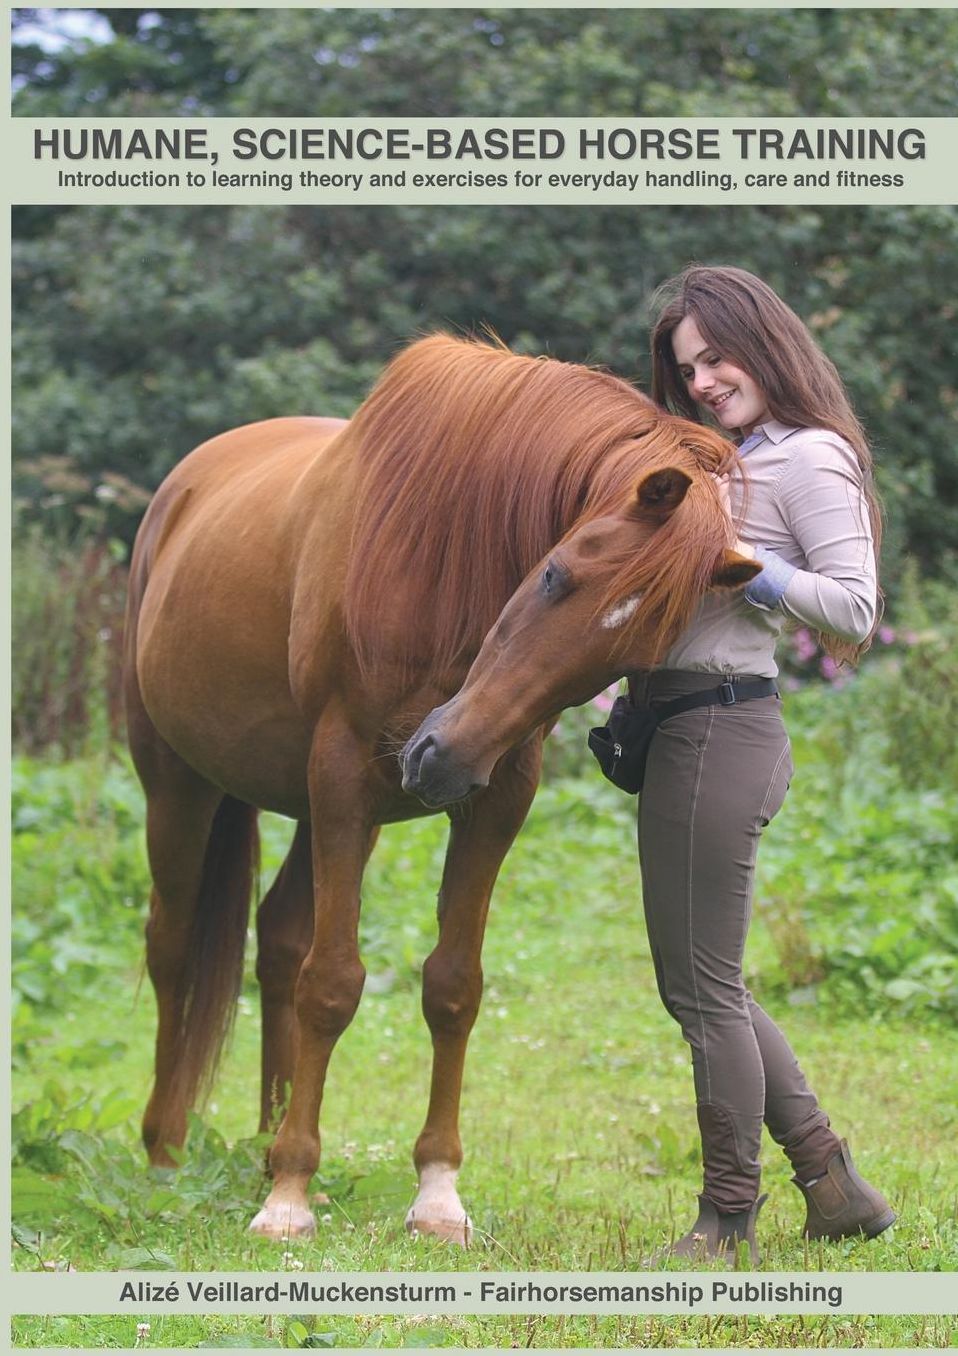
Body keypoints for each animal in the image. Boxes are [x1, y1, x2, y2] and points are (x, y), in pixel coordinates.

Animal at [123, 332, 759, 1243]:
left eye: (627, 655)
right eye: (555, 575)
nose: (441, 760)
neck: (442, 556)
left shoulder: (495, 800)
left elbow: (452, 986)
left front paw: (433, 1191)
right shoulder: (346, 773)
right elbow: (333, 983)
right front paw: (290, 1198)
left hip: (310, 808)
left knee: (277, 939)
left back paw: (262, 1148)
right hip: (181, 783)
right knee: (174, 948)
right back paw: (169, 1155)